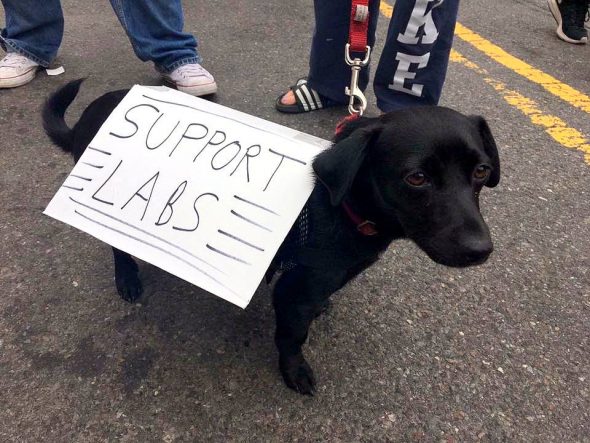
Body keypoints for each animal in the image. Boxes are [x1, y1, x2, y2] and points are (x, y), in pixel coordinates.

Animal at [44, 79, 502, 396]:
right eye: (417, 178)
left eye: (481, 171)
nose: (480, 251)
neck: (339, 203)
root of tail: (94, 110)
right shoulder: (293, 292)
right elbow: (292, 336)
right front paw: (294, 370)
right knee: (117, 247)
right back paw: (127, 278)